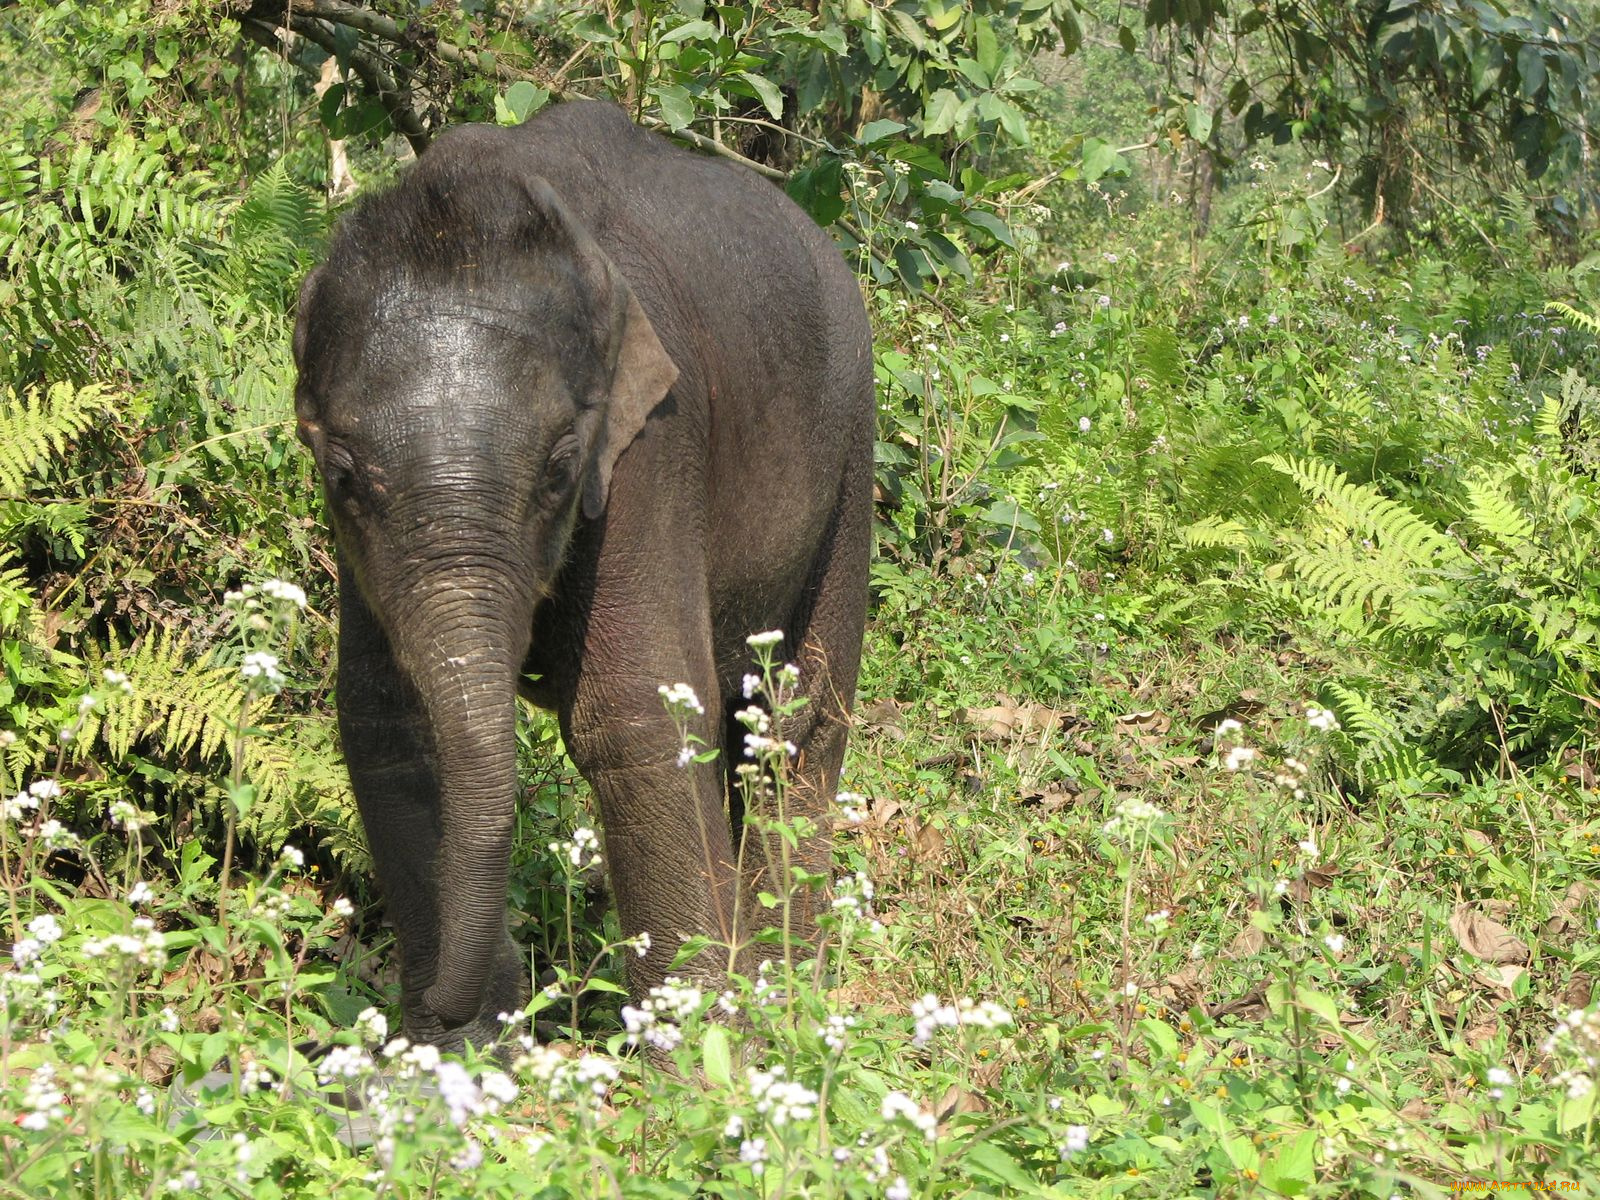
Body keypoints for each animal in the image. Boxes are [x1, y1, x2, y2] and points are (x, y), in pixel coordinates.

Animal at [294, 98, 883, 1049]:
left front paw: (701, 1053)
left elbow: (635, 712)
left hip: (852, 450)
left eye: (562, 467)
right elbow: (385, 717)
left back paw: (785, 993)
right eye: (342, 474)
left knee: (797, 727)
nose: (447, 1005)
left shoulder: (653, 444)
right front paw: (450, 1060)